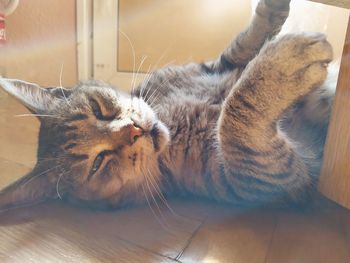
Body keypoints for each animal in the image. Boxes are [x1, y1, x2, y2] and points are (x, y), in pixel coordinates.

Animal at [0, 0, 336, 211]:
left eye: (98, 108)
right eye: (98, 165)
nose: (134, 130)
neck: (171, 116)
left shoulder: (213, 65)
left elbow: (242, 44)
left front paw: (271, 11)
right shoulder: (261, 181)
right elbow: (235, 118)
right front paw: (282, 66)